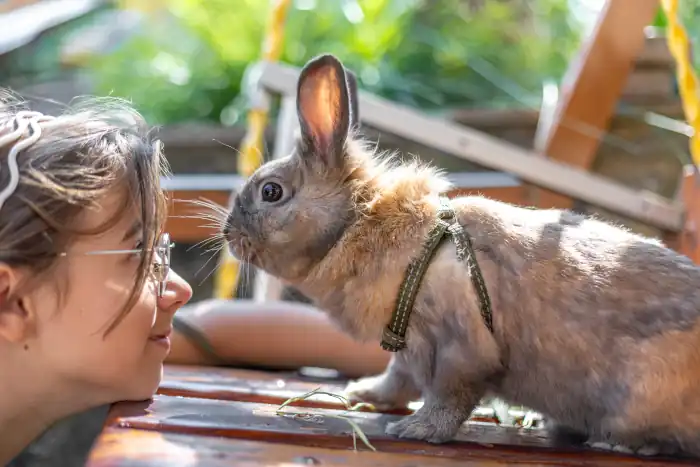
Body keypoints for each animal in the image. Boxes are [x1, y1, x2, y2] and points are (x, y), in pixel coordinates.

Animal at [223, 53, 700, 458]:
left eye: (271, 192)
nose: (228, 234)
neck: (359, 223)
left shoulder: (460, 343)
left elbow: (450, 394)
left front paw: (415, 430)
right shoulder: (408, 347)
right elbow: (397, 379)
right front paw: (364, 394)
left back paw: (618, 442)